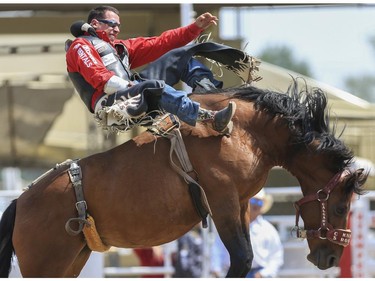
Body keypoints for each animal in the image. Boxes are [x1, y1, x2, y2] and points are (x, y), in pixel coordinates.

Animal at [0, 81, 368, 276]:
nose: (331, 258)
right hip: (45, 263)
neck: (247, 131)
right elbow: (242, 259)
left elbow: (246, 257)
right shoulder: (221, 199)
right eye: (340, 207)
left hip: (71, 260)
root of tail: (20, 202)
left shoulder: (241, 204)